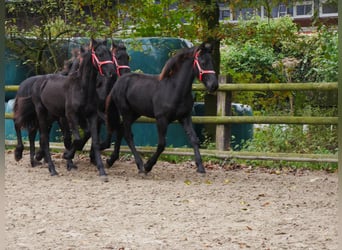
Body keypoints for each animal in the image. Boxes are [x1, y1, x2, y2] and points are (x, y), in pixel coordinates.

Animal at [106, 41, 219, 174]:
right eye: (203, 62)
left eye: (212, 61)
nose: (214, 85)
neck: (174, 89)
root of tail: (118, 82)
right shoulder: (161, 119)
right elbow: (161, 144)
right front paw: (148, 166)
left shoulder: (185, 117)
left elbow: (194, 139)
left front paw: (200, 167)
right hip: (126, 112)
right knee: (128, 135)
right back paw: (140, 165)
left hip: (135, 113)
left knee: (120, 129)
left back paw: (111, 160)